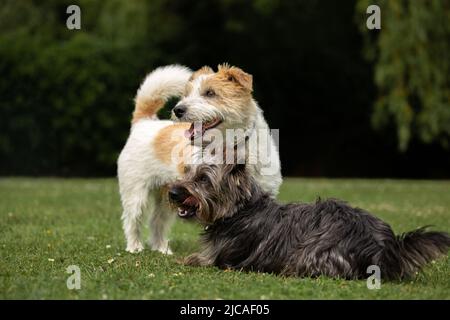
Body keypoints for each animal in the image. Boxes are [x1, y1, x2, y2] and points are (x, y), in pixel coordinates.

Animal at [169, 164, 450, 278]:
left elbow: (191, 259)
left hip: (311, 251)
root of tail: (384, 248)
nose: (172, 192)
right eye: (188, 172)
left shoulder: (215, 258)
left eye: (203, 179)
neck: (239, 210)